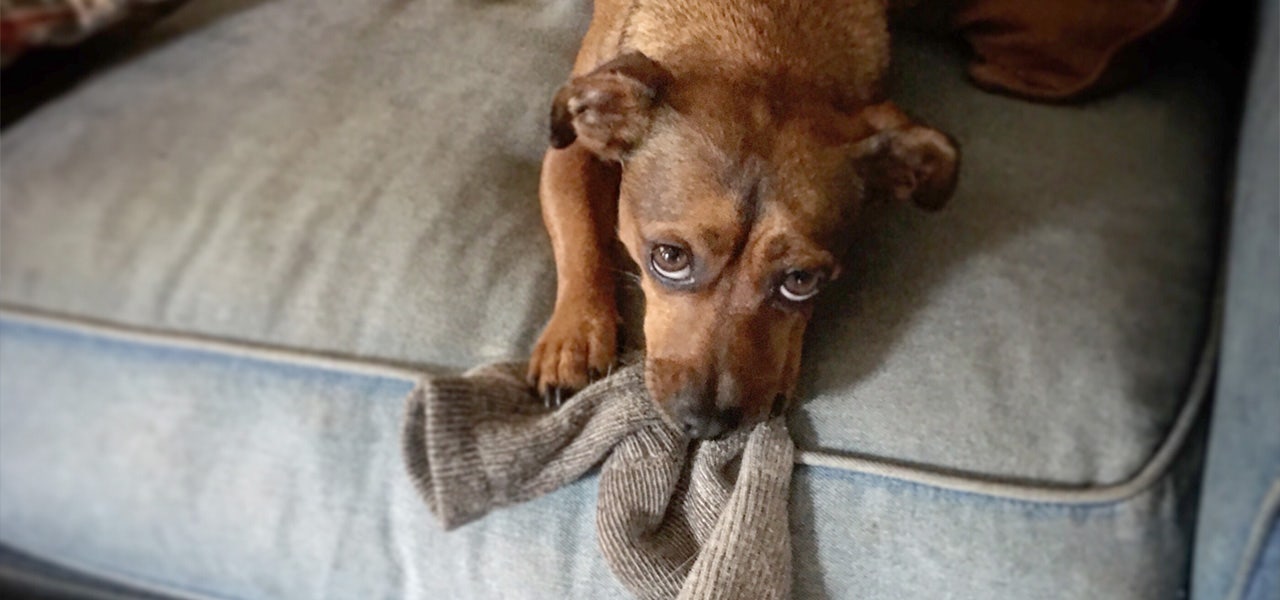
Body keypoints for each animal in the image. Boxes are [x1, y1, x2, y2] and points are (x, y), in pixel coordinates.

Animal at [524, 1, 957, 440]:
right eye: (669, 257)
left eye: (802, 280)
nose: (707, 423)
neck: (759, 41)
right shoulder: (570, 148)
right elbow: (579, 231)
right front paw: (575, 335)